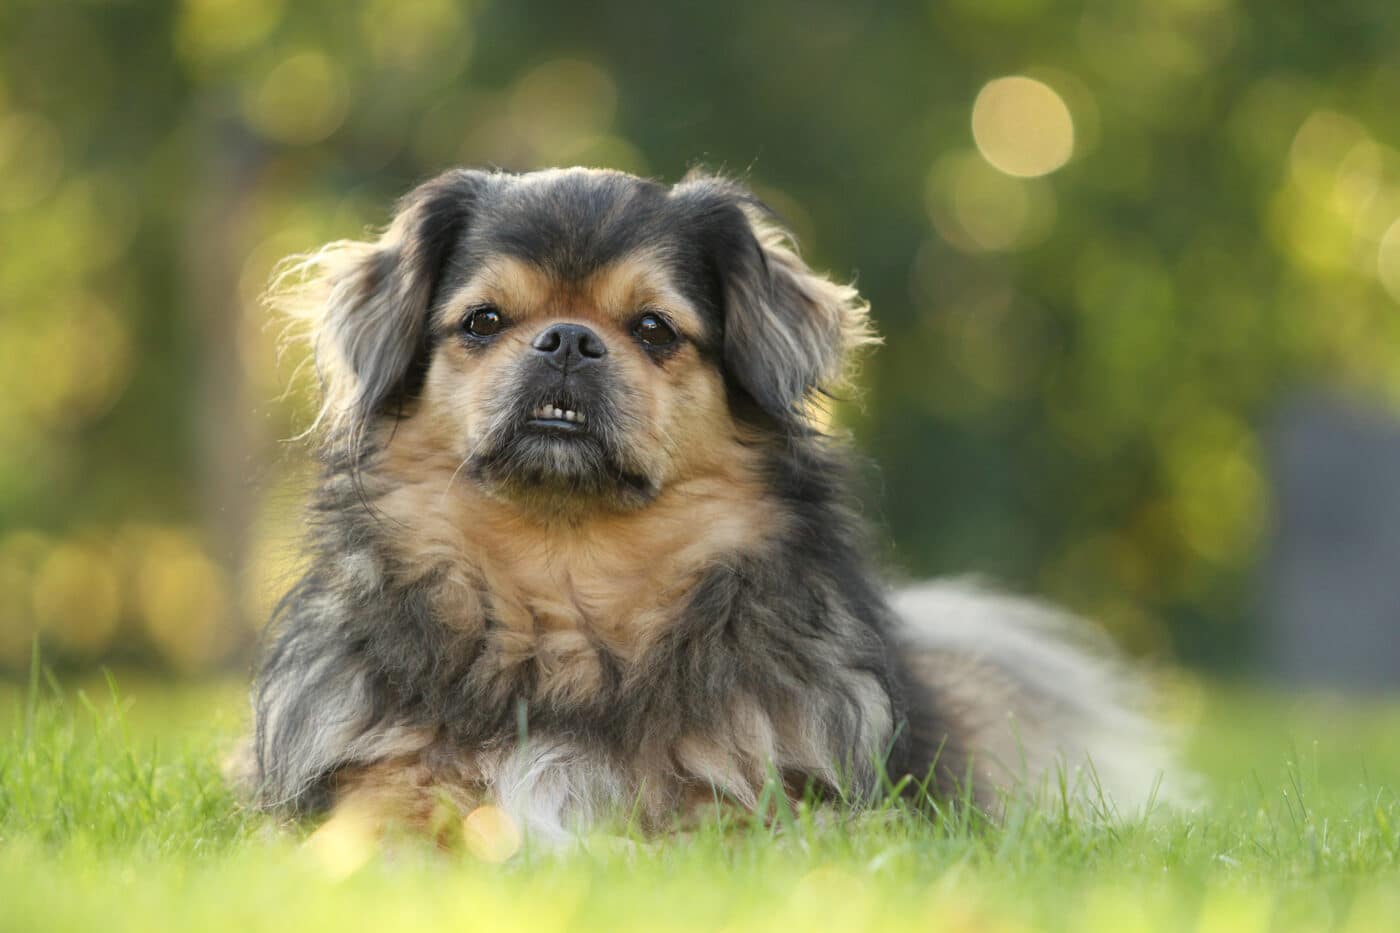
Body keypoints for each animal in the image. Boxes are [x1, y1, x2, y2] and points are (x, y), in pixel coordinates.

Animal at [246, 167, 1176, 840]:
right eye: (482, 321)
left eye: (654, 330)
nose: (567, 341)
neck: (567, 577)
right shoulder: (379, 776)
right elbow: (388, 817)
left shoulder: (768, 800)